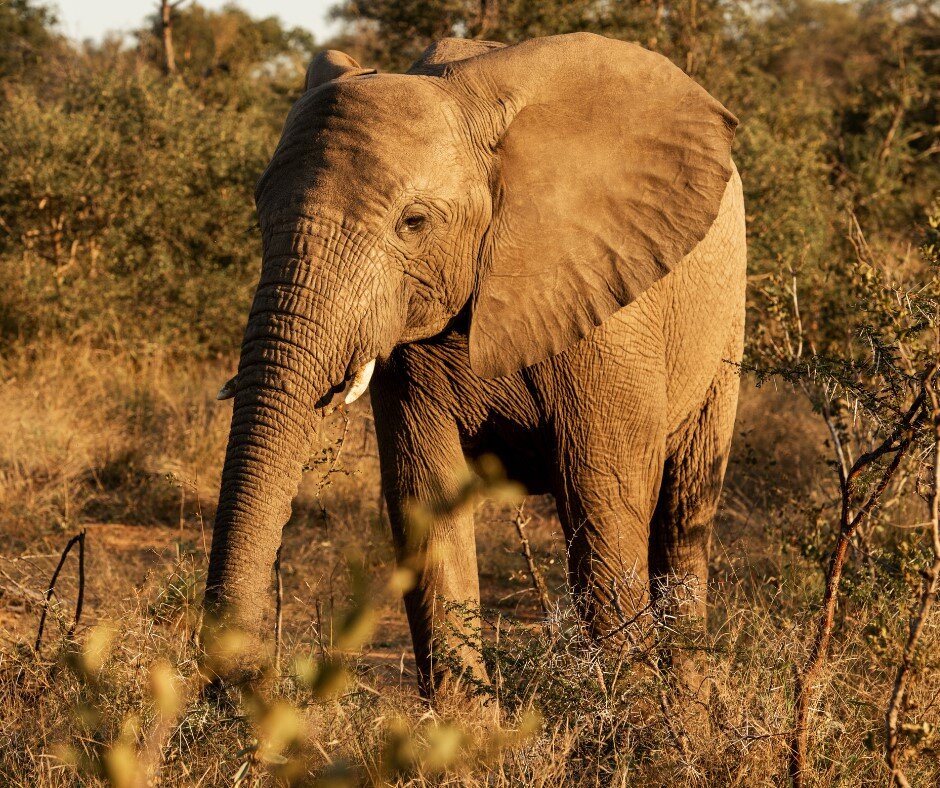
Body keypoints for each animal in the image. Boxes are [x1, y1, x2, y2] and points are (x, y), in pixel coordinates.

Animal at [203, 32, 746, 698]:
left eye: (413, 222)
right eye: (259, 215)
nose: (242, 682)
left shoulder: (613, 308)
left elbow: (604, 499)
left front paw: (633, 716)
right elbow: (424, 498)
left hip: (725, 321)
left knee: (682, 514)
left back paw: (692, 704)